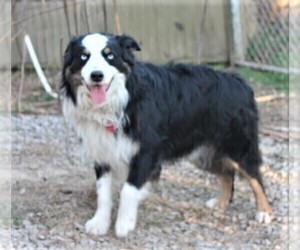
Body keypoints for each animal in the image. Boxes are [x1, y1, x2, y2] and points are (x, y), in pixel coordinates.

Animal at [59, 32, 274, 237]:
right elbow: (102, 193)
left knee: (255, 176)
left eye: (109, 55)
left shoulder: (146, 151)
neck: (119, 102)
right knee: (227, 174)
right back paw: (221, 202)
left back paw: (264, 212)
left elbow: (128, 189)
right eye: (83, 56)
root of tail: (239, 81)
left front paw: (124, 224)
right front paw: (99, 223)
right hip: (201, 153)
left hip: (237, 145)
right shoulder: (102, 152)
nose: (97, 75)